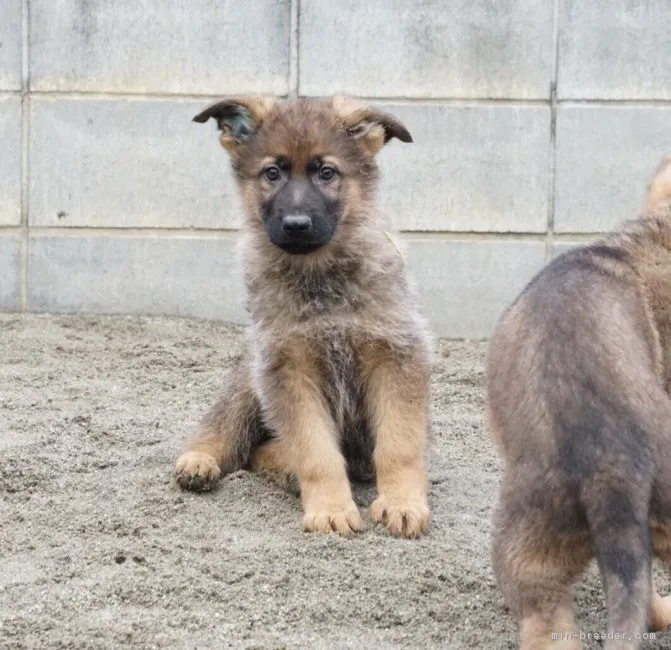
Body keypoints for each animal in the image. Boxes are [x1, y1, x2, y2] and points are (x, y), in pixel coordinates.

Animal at [173, 92, 434, 536]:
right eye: (272, 173)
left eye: (326, 172)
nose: (296, 225)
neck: (320, 278)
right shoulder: (287, 369)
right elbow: (315, 451)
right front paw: (330, 508)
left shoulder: (396, 355)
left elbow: (398, 444)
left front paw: (402, 502)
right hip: (250, 380)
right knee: (231, 433)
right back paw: (202, 460)